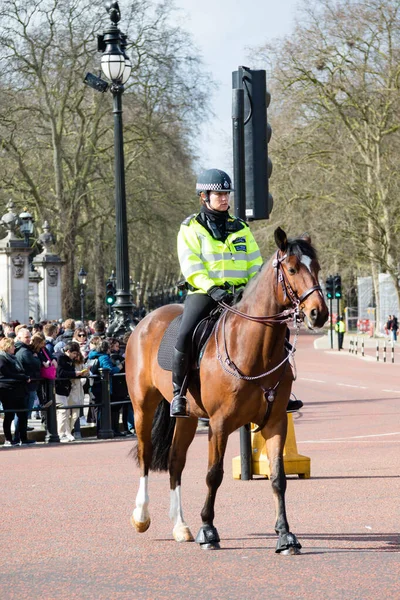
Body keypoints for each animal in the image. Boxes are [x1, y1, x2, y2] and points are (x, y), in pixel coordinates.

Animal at [125, 229, 328, 552]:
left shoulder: (276, 422)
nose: (318, 313)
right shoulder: (219, 424)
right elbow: (214, 474)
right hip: (142, 406)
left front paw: (285, 535)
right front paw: (208, 530)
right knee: (146, 456)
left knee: (175, 462)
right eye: (292, 269)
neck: (255, 348)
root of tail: (145, 319)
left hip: (187, 417)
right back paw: (142, 516)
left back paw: (180, 526)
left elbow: (278, 478)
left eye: (317, 267)